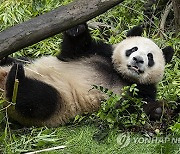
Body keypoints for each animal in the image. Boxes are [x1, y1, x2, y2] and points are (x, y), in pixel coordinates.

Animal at [0, 23, 174, 126]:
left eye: (150, 57)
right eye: (133, 49)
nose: (138, 60)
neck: (120, 74)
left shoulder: (142, 90)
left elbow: (136, 108)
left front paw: (159, 110)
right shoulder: (98, 52)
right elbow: (73, 49)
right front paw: (77, 29)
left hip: (60, 102)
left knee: (38, 98)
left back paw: (15, 79)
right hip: (28, 63)